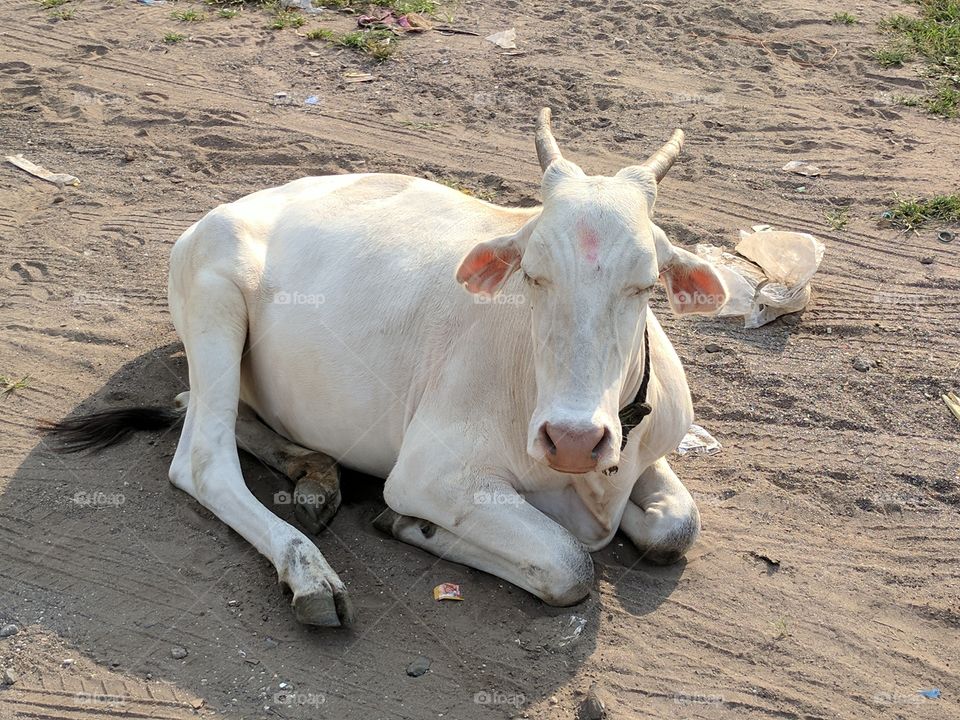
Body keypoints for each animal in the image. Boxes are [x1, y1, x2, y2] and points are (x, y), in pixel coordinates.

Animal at [48, 109, 727, 628]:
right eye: (534, 275)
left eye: (645, 285)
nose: (574, 438)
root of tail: (214, 215)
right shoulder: (431, 474)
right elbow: (571, 565)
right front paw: (411, 525)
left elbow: (677, 528)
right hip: (214, 301)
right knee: (202, 457)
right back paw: (310, 574)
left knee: (196, 407)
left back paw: (316, 474)